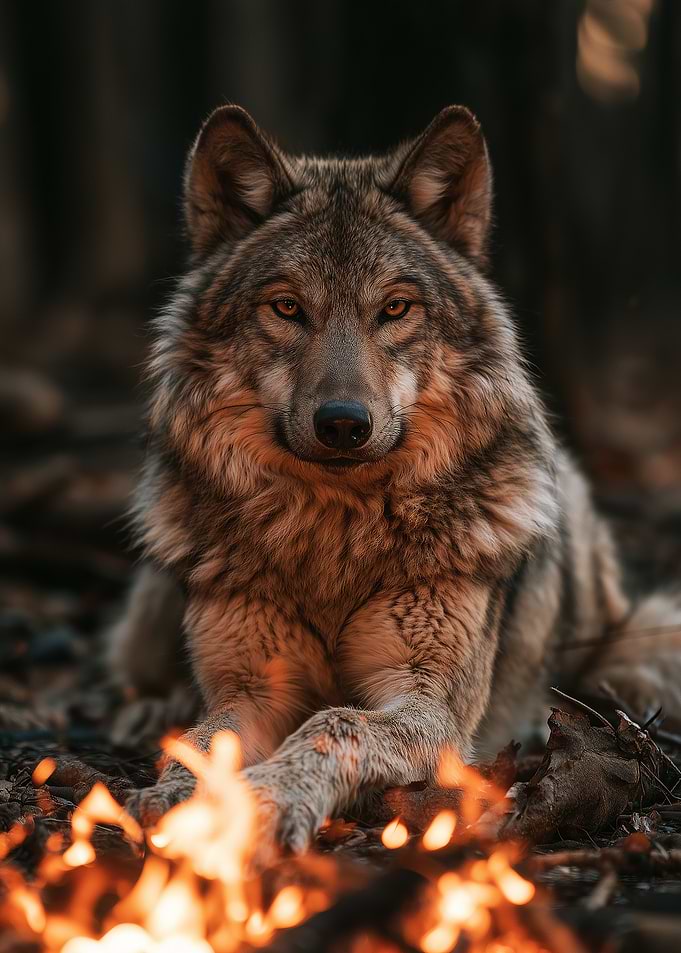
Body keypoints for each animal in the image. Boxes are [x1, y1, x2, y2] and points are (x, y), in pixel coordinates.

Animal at [111, 104, 681, 859]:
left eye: (395, 309)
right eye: (286, 307)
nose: (342, 423)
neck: (333, 531)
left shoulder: (428, 701)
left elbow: (335, 721)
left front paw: (265, 800)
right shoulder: (251, 690)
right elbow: (206, 739)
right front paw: (175, 795)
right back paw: (152, 705)